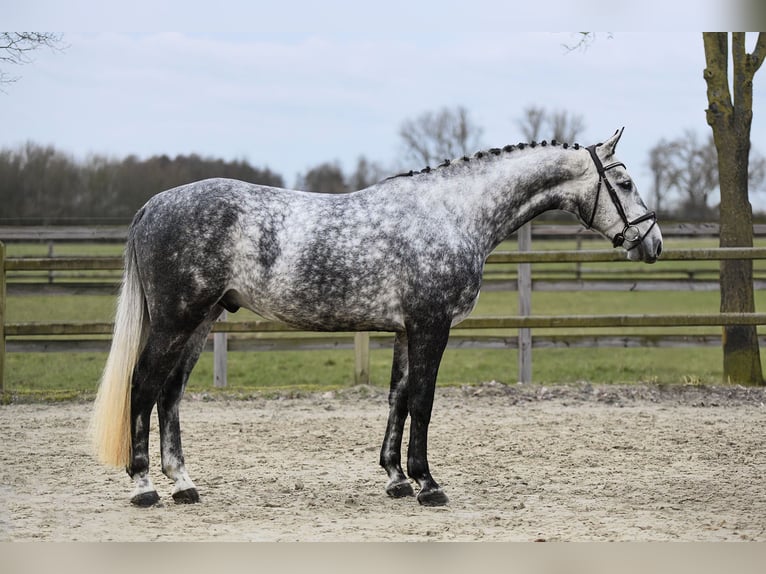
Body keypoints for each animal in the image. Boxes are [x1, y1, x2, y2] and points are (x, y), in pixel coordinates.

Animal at [93, 129, 664, 508]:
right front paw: (428, 484)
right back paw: (144, 487)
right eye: (625, 181)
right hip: (177, 322)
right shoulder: (432, 326)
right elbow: (424, 402)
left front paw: (396, 479)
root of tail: (153, 206)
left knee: (169, 395)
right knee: (143, 386)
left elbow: (399, 398)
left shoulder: (406, 330)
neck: (453, 213)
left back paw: (184, 485)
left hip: (201, 322)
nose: (653, 241)